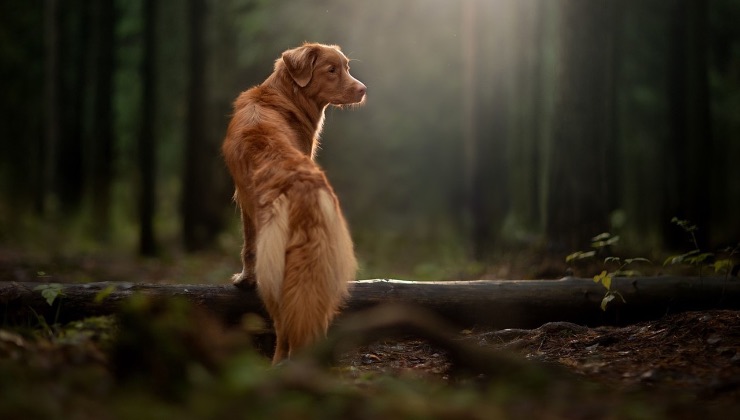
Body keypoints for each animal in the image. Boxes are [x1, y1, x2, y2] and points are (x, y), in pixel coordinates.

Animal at [223, 43, 368, 364]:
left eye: (347, 67)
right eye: (332, 70)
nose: (363, 90)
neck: (282, 95)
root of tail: (304, 188)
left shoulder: (244, 203)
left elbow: (247, 247)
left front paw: (243, 279)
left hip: (276, 273)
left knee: (285, 326)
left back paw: (279, 364)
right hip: (322, 268)